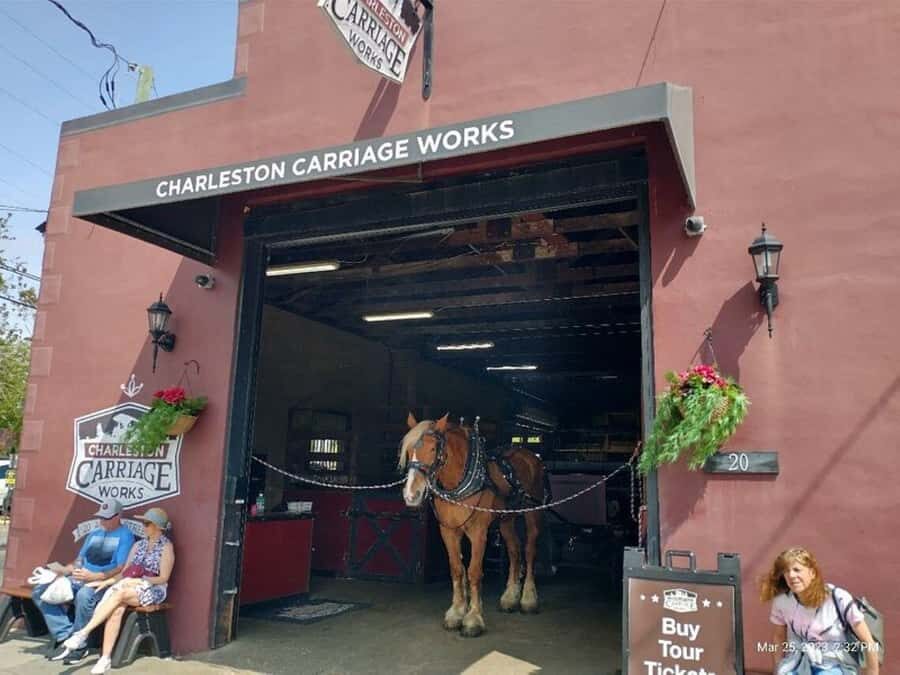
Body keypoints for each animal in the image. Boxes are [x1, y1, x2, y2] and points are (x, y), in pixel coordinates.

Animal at [398, 412, 546, 637]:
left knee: (529, 551)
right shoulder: (448, 531)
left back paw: (528, 599)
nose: (411, 495)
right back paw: (509, 598)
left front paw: (473, 619)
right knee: (514, 551)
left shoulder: (478, 532)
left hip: (532, 513)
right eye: (408, 450)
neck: (459, 482)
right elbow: (457, 569)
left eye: (433, 449)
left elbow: (474, 572)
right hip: (506, 520)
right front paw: (456, 612)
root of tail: (530, 456)